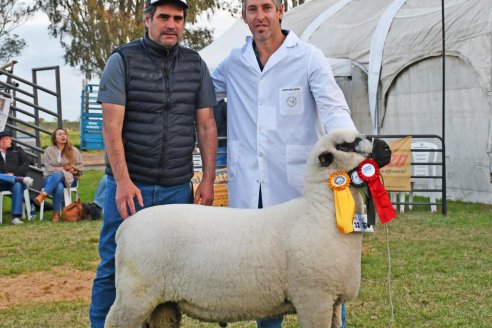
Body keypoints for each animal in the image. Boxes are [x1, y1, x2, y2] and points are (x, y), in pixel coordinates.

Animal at [104, 129, 392, 326]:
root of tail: (126, 227)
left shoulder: (332, 301)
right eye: (346, 145)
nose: (387, 147)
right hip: (134, 295)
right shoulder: (313, 297)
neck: (318, 212)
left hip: (162, 303)